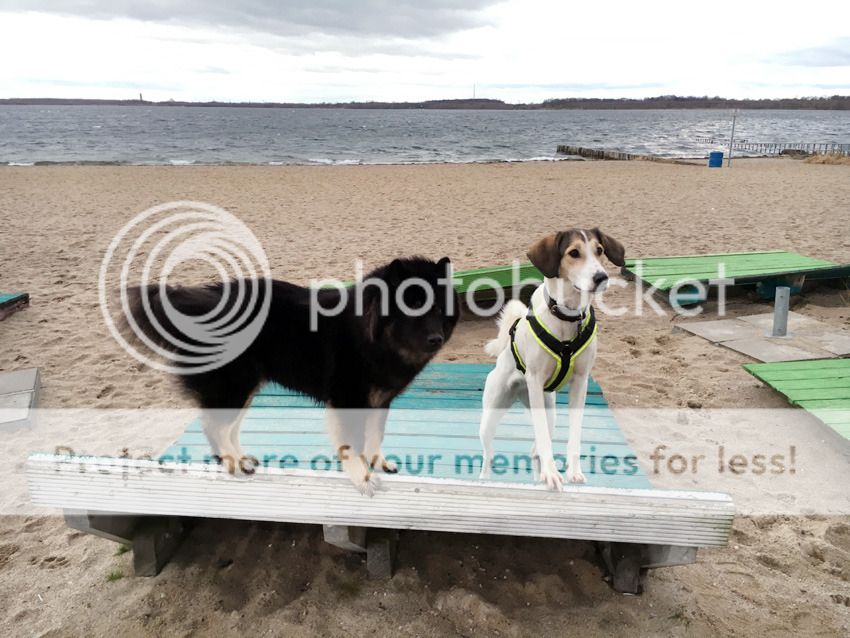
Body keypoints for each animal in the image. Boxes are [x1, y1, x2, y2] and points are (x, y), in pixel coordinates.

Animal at [125, 256, 459, 495]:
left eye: (439, 308)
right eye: (413, 307)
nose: (436, 338)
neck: (372, 336)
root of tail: (195, 304)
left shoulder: (380, 400)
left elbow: (375, 436)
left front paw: (379, 463)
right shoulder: (347, 400)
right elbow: (352, 444)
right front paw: (363, 478)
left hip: (245, 389)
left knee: (228, 428)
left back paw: (242, 459)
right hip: (235, 387)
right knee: (213, 427)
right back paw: (233, 465)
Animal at [478, 229, 625, 490]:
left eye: (599, 250)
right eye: (574, 253)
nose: (601, 277)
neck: (568, 315)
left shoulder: (580, 383)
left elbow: (574, 435)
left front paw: (572, 472)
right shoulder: (536, 381)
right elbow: (544, 441)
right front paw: (551, 473)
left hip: (550, 413)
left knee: (534, 448)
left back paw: (539, 477)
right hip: (492, 414)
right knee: (490, 453)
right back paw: (485, 477)